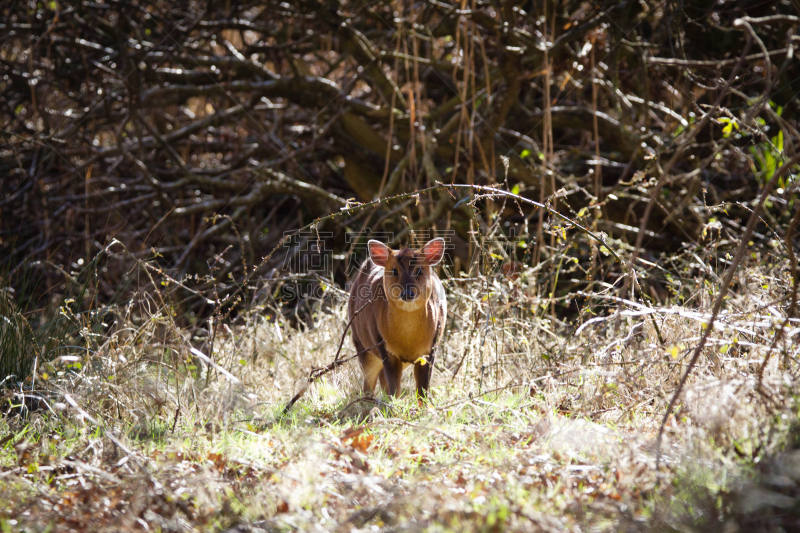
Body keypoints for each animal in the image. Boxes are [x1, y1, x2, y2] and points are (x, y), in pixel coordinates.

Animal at [346, 238, 446, 400]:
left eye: (419, 270)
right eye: (394, 271)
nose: (408, 293)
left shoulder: (430, 348)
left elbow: (422, 390)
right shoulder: (385, 348)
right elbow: (394, 389)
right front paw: (394, 405)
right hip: (361, 343)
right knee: (369, 382)